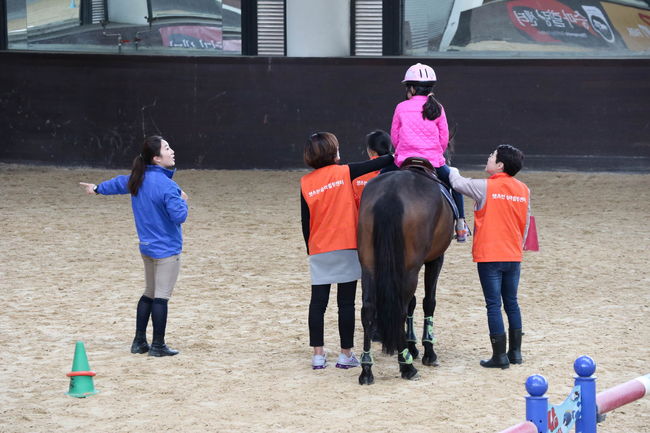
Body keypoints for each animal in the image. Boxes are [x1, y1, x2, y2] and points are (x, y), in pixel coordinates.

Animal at [354, 163, 450, 384]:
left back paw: (367, 369)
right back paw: (407, 366)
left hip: (369, 265)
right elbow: (428, 302)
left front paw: (411, 345)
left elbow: (412, 303)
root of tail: (391, 193)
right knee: (400, 308)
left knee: (368, 309)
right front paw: (427, 351)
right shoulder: (435, 259)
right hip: (410, 268)